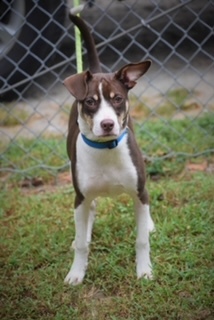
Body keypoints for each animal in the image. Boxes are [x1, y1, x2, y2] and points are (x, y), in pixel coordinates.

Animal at [63, 11, 154, 284]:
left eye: (118, 99)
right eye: (90, 102)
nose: (107, 124)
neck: (105, 150)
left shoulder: (139, 192)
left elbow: (141, 239)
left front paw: (144, 270)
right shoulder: (80, 197)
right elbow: (83, 243)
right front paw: (76, 272)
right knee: (89, 213)